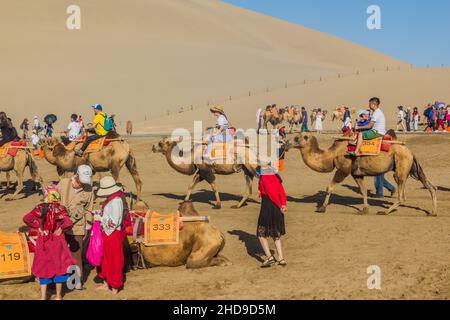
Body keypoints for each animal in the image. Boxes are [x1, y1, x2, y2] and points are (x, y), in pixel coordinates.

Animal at [290, 131, 438, 216]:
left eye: (296, 138)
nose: (286, 143)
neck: (331, 154)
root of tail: (410, 151)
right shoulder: (356, 173)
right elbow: (363, 191)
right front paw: (365, 209)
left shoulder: (343, 170)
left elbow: (329, 187)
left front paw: (322, 208)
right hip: (410, 167)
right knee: (430, 186)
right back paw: (433, 212)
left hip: (401, 165)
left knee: (402, 195)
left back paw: (384, 211)